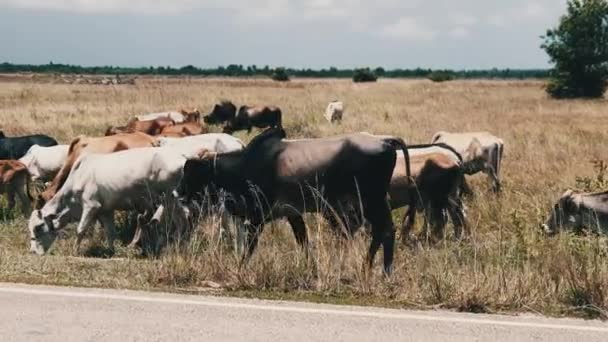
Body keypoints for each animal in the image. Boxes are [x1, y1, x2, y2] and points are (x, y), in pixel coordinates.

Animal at [173, 127, 410, 274]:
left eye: (192, 173)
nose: (177, 193)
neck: (244, 165)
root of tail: (384, 140)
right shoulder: (293, 214)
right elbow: (303, 242)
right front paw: (310, 268)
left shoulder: (258, 217)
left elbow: (250, 247)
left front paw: (240, 268)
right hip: (374, 203)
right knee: (384, 231)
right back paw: (374, 269)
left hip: (371, 201)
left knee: (384, 231)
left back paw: (378, 270)